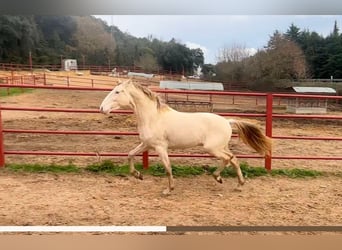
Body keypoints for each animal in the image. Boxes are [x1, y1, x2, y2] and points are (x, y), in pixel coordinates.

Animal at [99, 79, 272, 194]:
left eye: (117, 91)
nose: (102, 108)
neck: (153, 117)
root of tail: (227, 121)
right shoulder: (146, 144)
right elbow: (130, 155)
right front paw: (138, 175)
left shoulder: (160, 147)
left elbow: (167, 167)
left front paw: (168, 189)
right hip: (221, 147)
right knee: (234, 159)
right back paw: (237, 184)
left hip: (212, 148)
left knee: (228, 158)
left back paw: (218, 177)